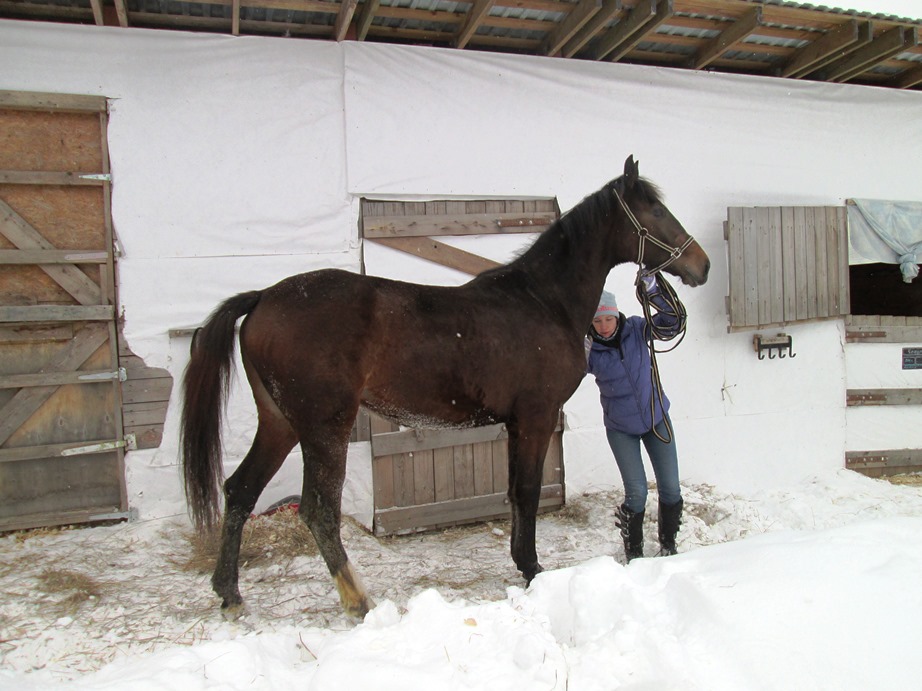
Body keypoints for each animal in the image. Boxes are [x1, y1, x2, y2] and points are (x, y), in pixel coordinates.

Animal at [179, 155, 710, 620]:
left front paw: (523, 563)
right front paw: (534, 569)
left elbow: (515, 493)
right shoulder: (536, 418)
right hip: (324, 428)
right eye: (654, 210)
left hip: (280, 422)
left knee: (240, 490)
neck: (541, 301)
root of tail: (264, 298)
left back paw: (230, 595)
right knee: (317, 510)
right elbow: (529, 491)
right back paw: (358, 602)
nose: (700, 265)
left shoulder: (515, 424)